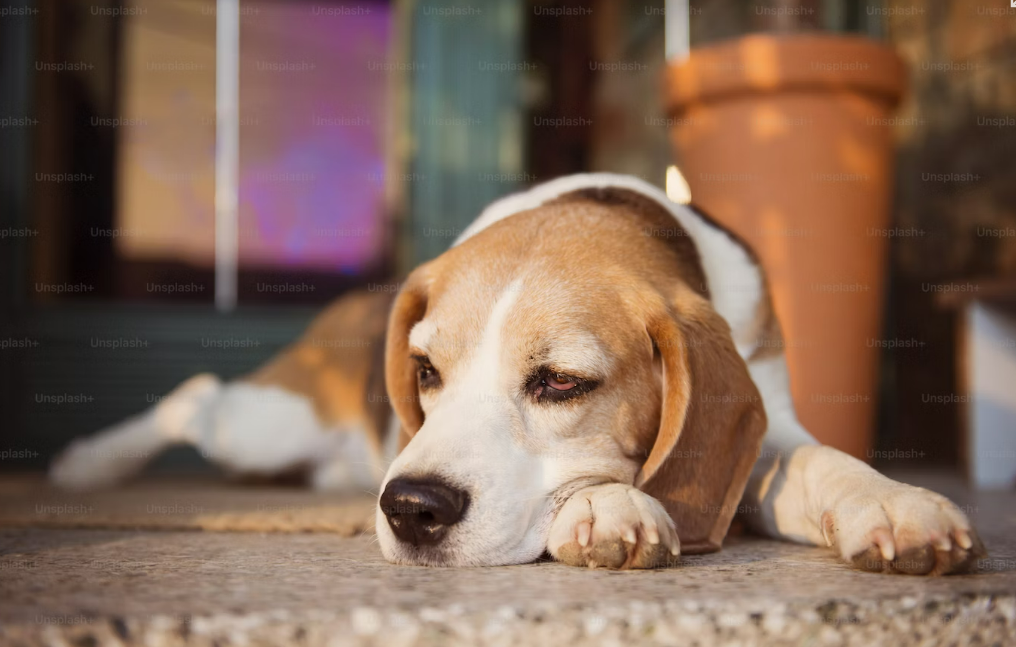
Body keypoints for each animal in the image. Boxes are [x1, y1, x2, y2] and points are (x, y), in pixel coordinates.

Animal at [49, 173, 983, 572]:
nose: (410, 508)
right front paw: (609, 504)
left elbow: (821, 460)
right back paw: (86, 463)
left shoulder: (767, 418)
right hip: (268, 422)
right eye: (425, 368)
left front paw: (892, 504)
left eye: (561, 382)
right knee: (194, 397)